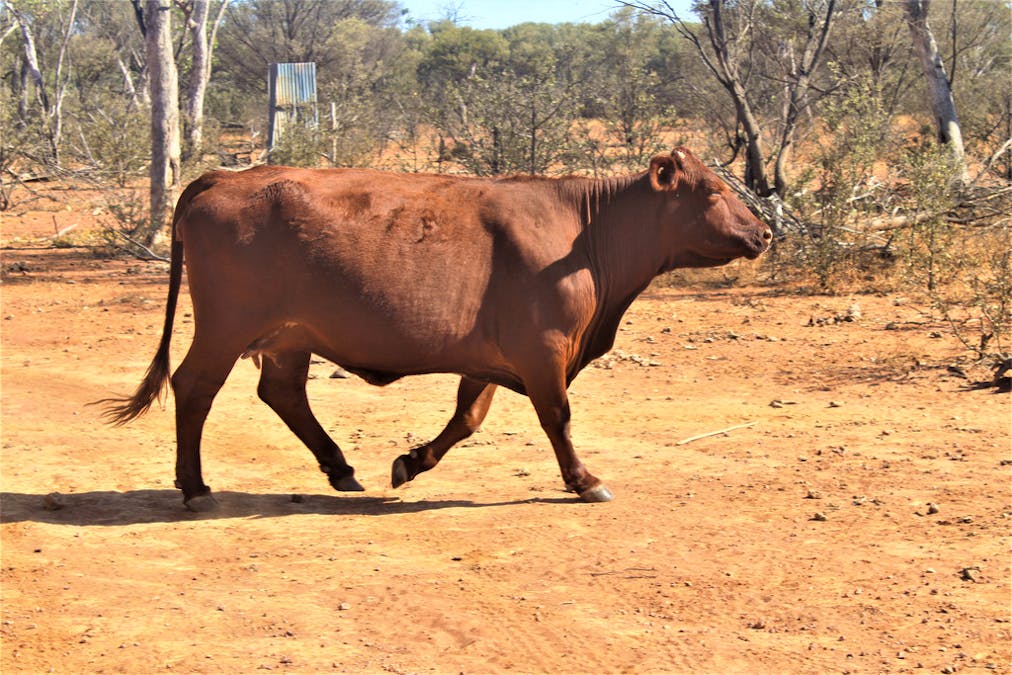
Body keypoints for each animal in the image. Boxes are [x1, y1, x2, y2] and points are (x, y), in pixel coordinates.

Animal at [100, 147, 765, 512]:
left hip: (290, 337)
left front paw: (411, 461)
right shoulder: (543, 351)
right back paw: (195, 487)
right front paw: (584, 480)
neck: (583, 232)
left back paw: (340, 467)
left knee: (282, 393)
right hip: (226, 328)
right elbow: (558, 417)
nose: (763, 231)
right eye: (712, 190)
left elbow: (467, 419)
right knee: (195, 388)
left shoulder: (490, 359)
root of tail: (221, 176)